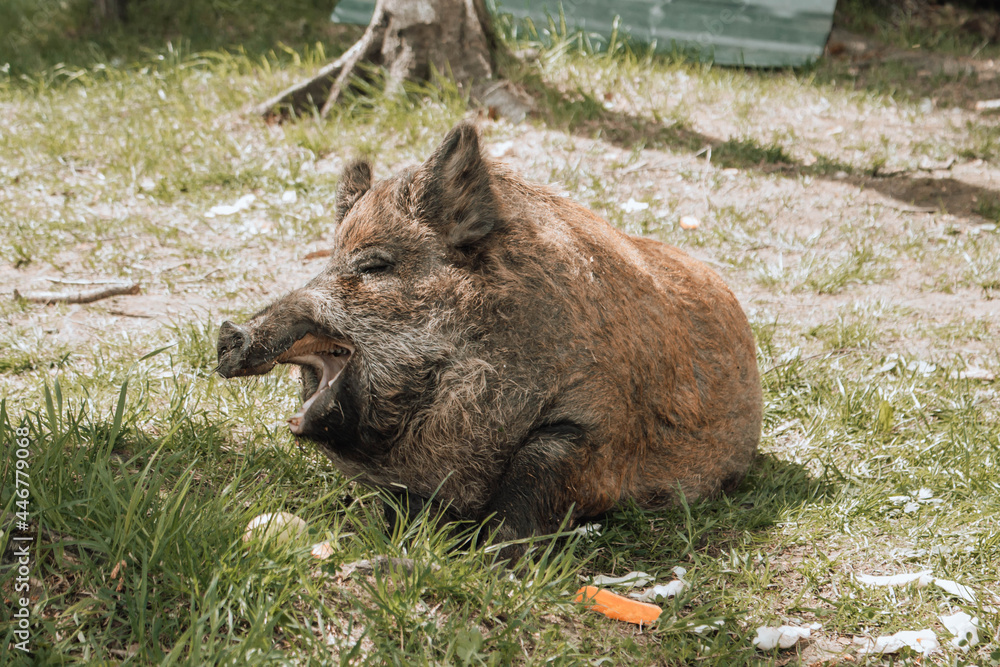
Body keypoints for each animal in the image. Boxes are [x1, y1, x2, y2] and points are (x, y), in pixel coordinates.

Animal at [216, 122, 762, 559]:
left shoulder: (598, 426)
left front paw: (488, 557)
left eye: (374, 265)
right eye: (326, 260)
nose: (228, 335)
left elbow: (535, 468)